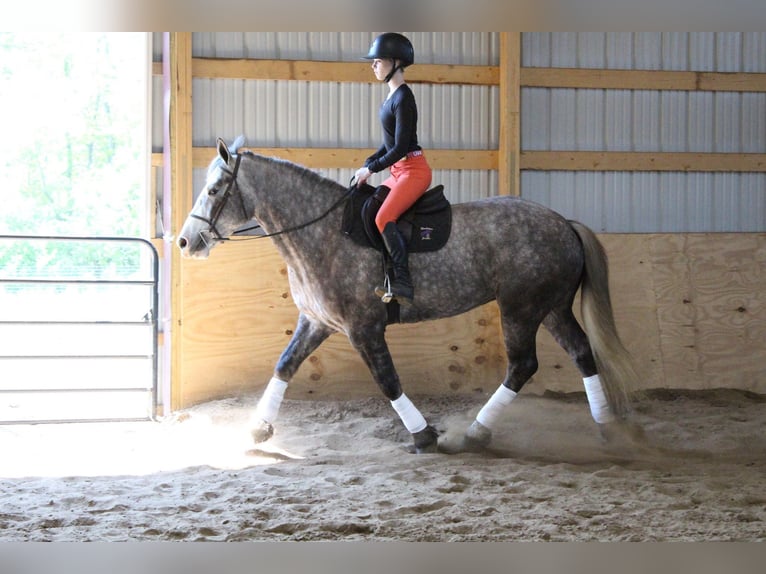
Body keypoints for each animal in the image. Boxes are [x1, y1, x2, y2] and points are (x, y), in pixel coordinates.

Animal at [177, 137, 640, 456]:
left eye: (215, 190)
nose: (185, 241)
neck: (324, 232)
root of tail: (563, 222)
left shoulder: (363, 328)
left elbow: (387, 379)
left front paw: (424, 435)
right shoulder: (318, 321)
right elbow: (284, 365)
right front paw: (257, 429)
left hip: (521, 308)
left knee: (523, 365)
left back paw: (474, 433)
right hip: (552, 308)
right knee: (581, 353)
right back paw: (607, 428)